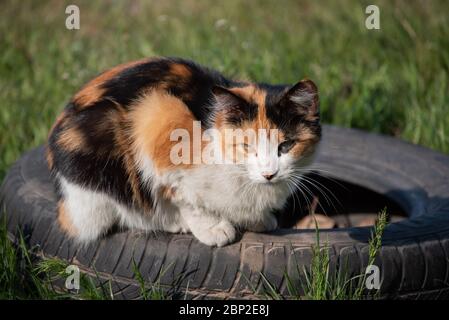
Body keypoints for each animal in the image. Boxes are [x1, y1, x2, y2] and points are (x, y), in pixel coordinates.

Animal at [47, 56, 320, 246]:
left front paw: (257, 219)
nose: (269, 174)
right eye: (246, 146)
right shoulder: (161, 123)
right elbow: (185, 197)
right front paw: (214, 228)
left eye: (286, 146)